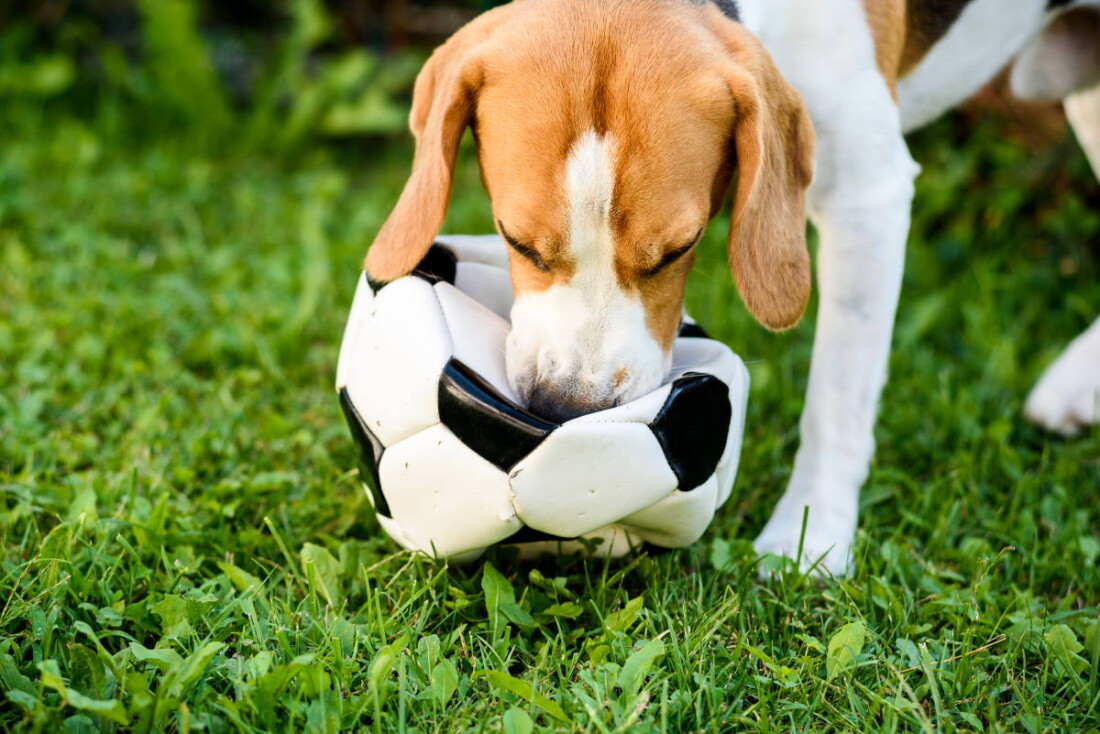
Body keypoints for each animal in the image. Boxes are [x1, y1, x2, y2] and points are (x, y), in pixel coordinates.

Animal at [363, 0, 1100, 572]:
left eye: (679, 249)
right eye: (515, 240)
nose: (565, 408)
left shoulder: (869, 198)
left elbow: (836, 400)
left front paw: (812, 535)